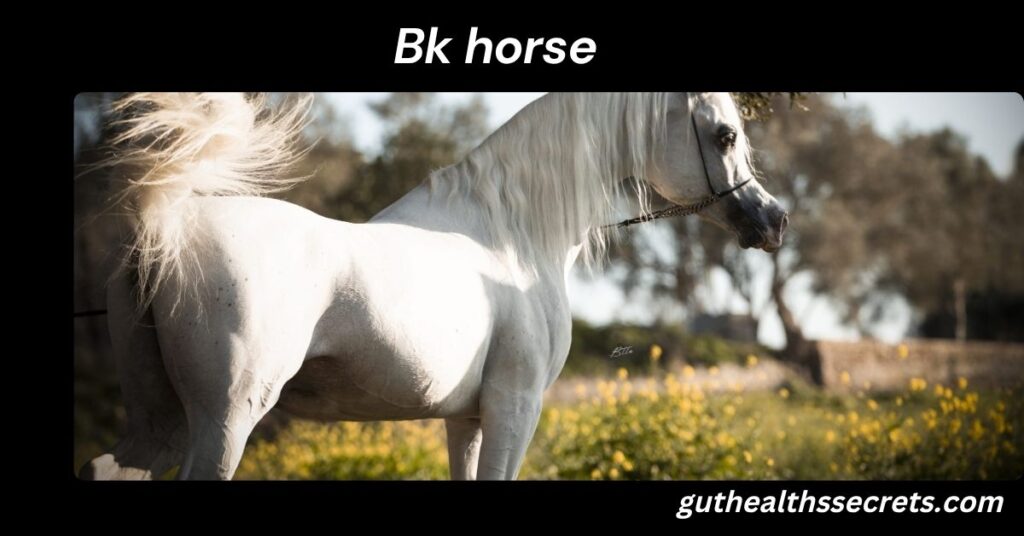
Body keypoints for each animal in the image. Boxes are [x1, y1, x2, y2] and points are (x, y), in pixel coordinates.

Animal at [79, 92, 788, 480]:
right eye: (725, 134)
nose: (774, 221)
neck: (509, 237)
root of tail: (167, 226)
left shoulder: (466, 419)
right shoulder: (514, 410)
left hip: (163, 422)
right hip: (223, 424)